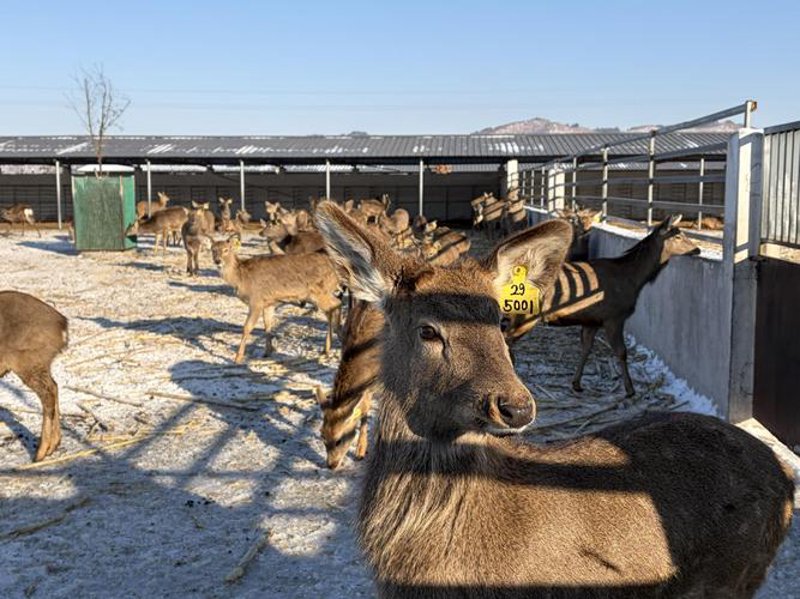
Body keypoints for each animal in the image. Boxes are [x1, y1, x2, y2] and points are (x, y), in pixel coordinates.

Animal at [0, 291, 69, 462]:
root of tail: (62, 325)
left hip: (28, 361)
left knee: (48, 394)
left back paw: (40, 453)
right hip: (41, 363)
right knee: (54, 386)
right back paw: (53, 446)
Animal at [211, 237, 342, 361]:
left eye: (226, 250)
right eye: (213, 249)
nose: (218, 261)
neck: (241, 278)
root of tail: (335, 273)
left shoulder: (256, 300)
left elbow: (247, 327)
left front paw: (238, 358)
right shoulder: (268, 303)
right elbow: (267, 325)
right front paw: (267, 352)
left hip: (320, 293)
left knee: (337, 303)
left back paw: (333, 341)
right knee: (334, 307)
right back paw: (329, 345)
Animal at [504, 215, 699, 397]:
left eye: (683, 233)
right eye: (678, 236)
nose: (697, 249)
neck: (633, 281)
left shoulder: (592, 320)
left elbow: (586, 349)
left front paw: (576, 383)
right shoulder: (614, 316)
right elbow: (621, 352)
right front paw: (630, 389)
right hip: (524, 315)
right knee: (506, 342)